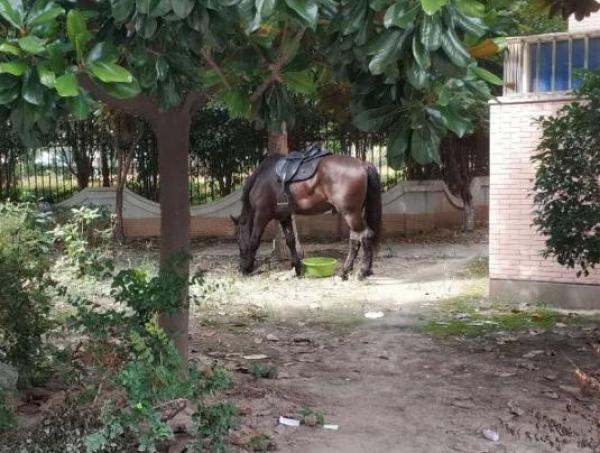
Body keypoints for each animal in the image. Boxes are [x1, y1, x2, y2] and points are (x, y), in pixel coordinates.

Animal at [232, 151, 382, 278]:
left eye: (238, 239)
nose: (241, 268)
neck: (263, 178)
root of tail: (362, 164)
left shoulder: (261, 215)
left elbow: (254, 240)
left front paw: (249, 267)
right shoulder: (284, 216)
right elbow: (290, 241)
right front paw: (297, 268)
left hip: (350, 214)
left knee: (365, 236)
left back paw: (361, 272)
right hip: (354, 214)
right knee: (356, 240)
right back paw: (350, 271)